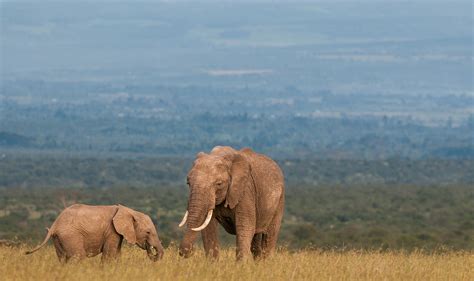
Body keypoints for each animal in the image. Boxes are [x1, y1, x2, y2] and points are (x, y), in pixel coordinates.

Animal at [25, 202, 165, 262]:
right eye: (148, 232)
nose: (151, 249)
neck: (130, 211)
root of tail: (54, 225)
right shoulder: (112, 231)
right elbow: (109, 255)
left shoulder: (115, 233)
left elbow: (116, 254)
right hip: (70, 235)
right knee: (78, 256)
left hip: (59, 238)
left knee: (62, 258)